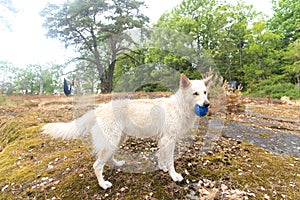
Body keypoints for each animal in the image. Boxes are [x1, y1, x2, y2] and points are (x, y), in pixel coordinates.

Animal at [42, 74, 211, 190]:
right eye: (195, 93)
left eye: (205, 92)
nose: (207, 104)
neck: (180, 106)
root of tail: (99, 108)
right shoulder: (169, 140)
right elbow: (170, 161)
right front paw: (174, 176)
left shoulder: (163, 140)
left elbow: (162, 157)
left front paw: (162, 168)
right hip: (111, 142)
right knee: (97, 165)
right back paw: (103, 184)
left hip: (117, 140)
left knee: (108, 159)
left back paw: (118, 164)